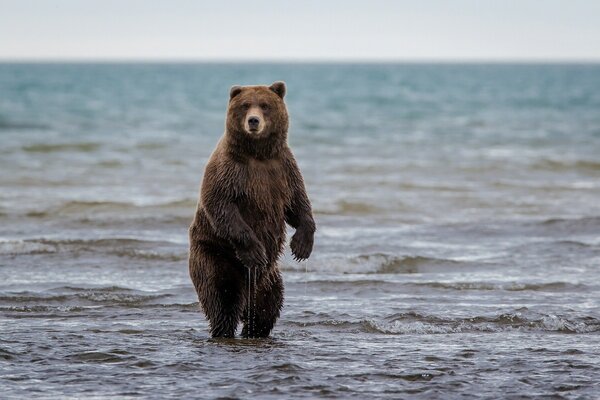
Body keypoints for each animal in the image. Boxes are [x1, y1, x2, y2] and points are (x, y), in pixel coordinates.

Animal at [190, 80, 316, 338]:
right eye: (246, 105)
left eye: (265, 105)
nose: (254, 121)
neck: (258, 155)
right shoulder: (229, 171)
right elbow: (221, 206)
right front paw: (255, 251)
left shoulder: (284, 169)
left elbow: (298, 204)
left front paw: (301, 246)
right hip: (215, 255)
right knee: (222, 298)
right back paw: (224, 328)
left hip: (270, 280)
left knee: (267, 308)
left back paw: (254, 329)